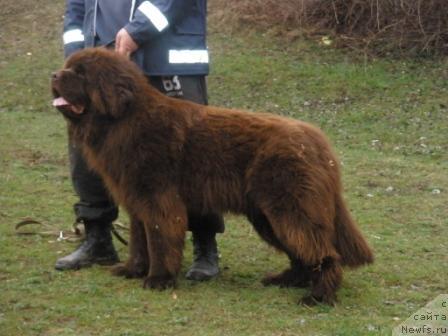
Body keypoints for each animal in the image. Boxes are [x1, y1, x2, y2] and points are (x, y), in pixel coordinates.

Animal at [52, 48, 372, 306]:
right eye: (69, 66)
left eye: (80, 72)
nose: (54, 75)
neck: (124, 120)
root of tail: (318, 141)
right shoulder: (137, 204)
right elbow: (139, 242)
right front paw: (133, 270)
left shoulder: (158, 202)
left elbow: (159, 240)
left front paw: (158, 279)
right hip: (269, 216)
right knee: (302, 253)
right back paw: (286, 280)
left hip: (291, 209)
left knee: (323, 253)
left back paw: (318, 296)